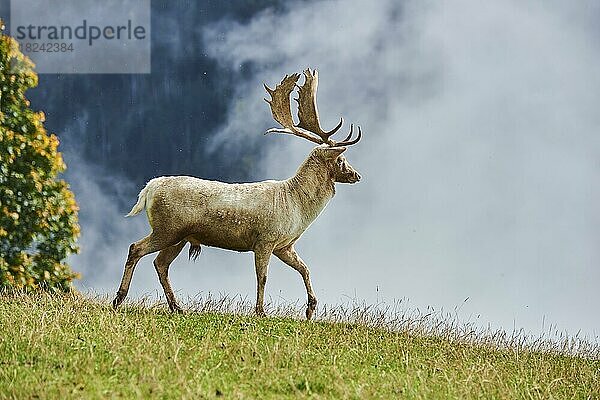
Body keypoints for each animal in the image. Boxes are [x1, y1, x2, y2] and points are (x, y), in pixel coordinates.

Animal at [114, 69, 364, 318]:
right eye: (341, 159)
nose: (357, 175)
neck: (296, 206)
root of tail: (149, 188)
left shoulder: (284, 246)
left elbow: (305, 269)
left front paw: (311, 308)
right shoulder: (265, 239)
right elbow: (262, 277)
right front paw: (260, 312)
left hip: (179, 237)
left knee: (160, 263)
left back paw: (177, 307)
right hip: (168, 228)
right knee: (136, 248)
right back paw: (119, 299)